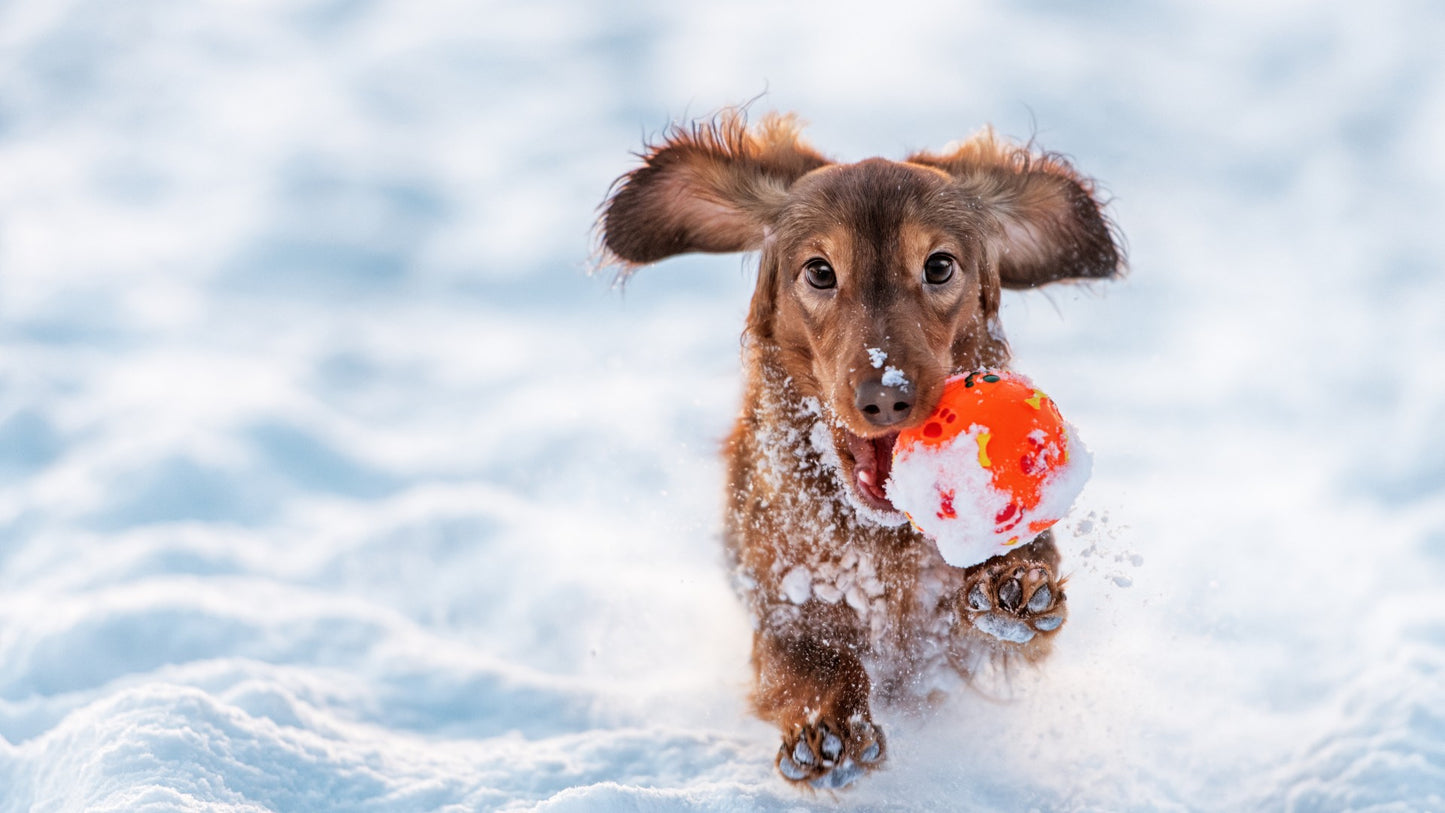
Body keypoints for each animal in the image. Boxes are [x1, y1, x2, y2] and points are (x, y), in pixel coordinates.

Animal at [592, 111, 1121, 791]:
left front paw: (1013, 582)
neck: (880, 543)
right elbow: (806, 656)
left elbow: (1017, 599)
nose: (886, 396)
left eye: (939, 266)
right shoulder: (779, 597)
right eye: (820, 272)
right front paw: (828, 729)